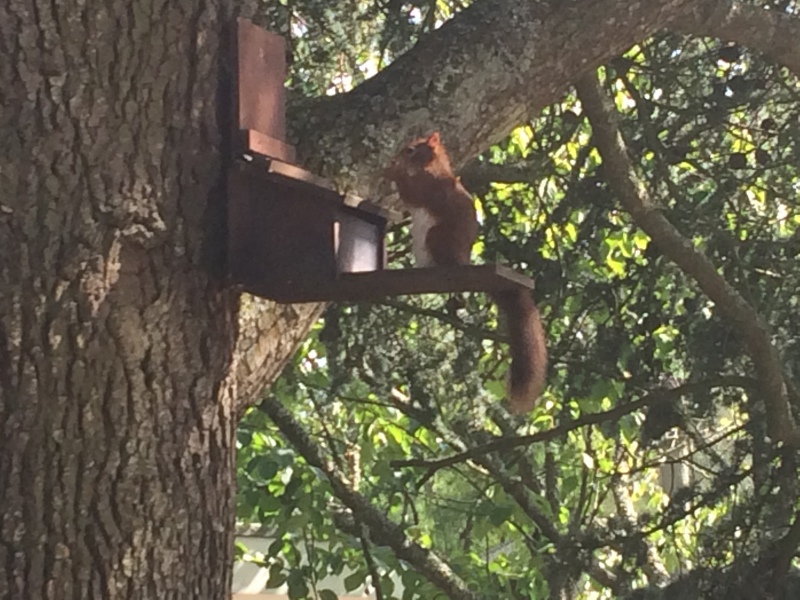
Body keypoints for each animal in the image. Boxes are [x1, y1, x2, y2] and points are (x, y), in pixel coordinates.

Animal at [384, 132, 547, 413]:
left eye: (411, 150)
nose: (395, 157)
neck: (432, 167)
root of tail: (461, 262)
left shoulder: (431, 187)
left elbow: (412, 193)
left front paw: (392, 172)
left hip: (437, 237)